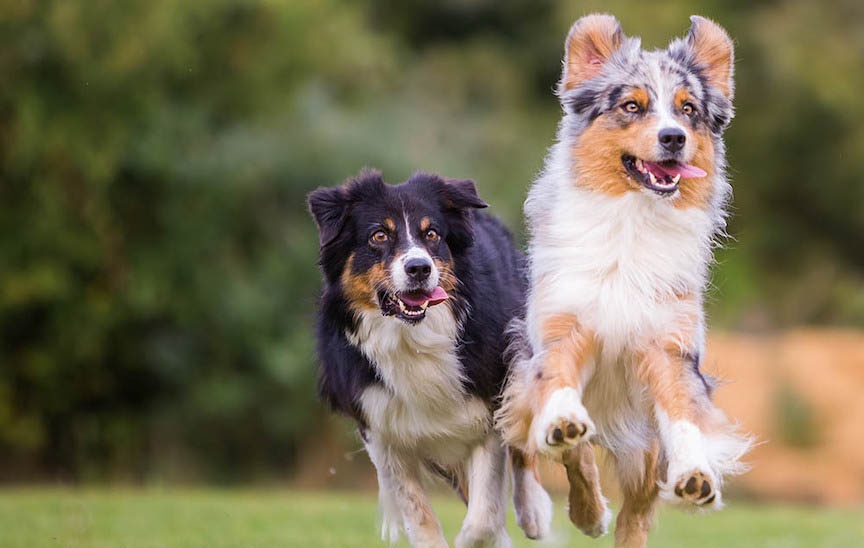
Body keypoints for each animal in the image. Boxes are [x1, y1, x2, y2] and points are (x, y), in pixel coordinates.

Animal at [308, 170, 552, 544]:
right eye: (379, 235)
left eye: (432, 234)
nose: (419, 268)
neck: (412, 338)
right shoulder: (382, 429)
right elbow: (418, 515)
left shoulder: (485, 412)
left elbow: (483, 517)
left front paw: (480, 538)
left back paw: (533, 510)